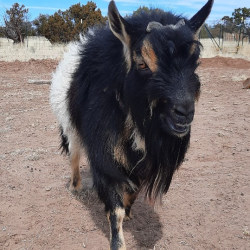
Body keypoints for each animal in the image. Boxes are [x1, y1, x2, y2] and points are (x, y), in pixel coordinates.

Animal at [49, 0, 214, 249]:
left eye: (195, 63)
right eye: (142, 63)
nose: (184, 113)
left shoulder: (141, 160)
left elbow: (133, 190)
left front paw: (128, 211)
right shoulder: (103, 153)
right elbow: (114, 207)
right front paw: (118, 241)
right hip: (69, 123)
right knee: (74, 153)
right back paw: (75, 186)